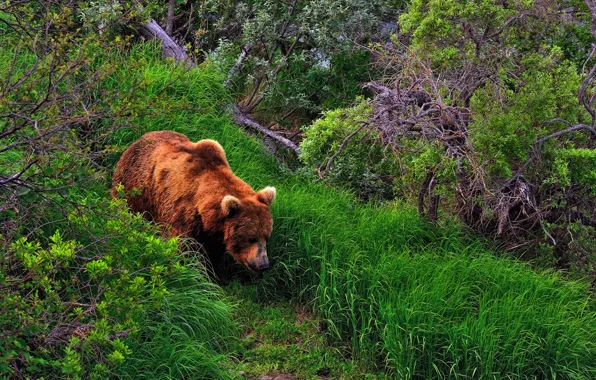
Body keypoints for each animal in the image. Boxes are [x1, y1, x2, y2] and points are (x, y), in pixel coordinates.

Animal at [113, 131, 276, 274]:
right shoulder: (182, 217)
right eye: (251, 238)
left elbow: (212, 254)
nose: (263, 265)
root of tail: (139, 138)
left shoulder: (213, 233)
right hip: (134, 188)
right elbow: (184, 250)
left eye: (266, 236)